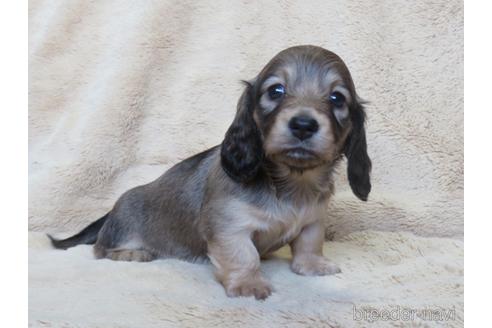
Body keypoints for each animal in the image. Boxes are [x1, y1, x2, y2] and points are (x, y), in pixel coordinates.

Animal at [51, 45, 372, 300]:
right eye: (276, 91)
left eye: (337, 98)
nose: (303, 125)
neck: (292, 182)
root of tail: (112, 210)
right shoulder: (230, 226)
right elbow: (244, 256)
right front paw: (248, 284)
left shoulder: (313, 220)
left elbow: (309, 244)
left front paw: (313, 266)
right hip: (122, 228)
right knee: (100, 250)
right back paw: (133, 253)